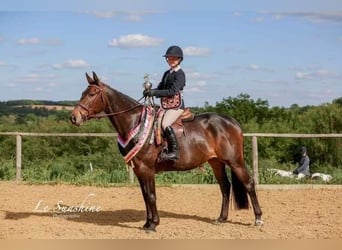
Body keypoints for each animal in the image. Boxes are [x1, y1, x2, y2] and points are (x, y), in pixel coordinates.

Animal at [69, 70, 262, 230]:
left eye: (92, 94)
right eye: (83, 93)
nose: (74, 117)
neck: (136, 122)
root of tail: (232, 122)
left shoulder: (147, 169)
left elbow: (151, 196)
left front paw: (154, 224)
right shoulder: (139, 170)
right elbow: (145, 196)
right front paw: (147, 223)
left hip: (234, 161)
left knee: (249, 184)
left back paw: (258, 219)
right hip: (216, 162)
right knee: (225, 186)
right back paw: (221, 218)